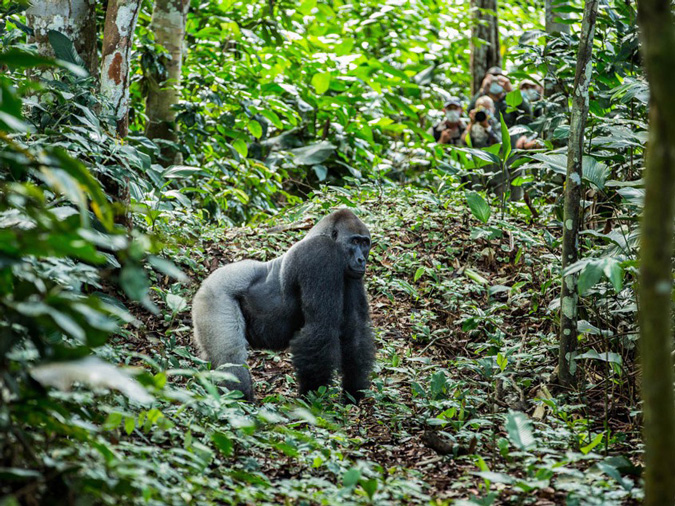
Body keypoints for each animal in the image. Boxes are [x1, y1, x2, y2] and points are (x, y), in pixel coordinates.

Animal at [191, 210, 374, 404]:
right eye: (355, 241)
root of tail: (206, 282)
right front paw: (312, 398)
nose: (361, 260)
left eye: (365, 243)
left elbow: (355, 330)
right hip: (214, 296)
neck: (322, 234)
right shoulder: (320, 255)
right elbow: (320, 329)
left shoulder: (351, 275)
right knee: (230, 357)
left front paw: (353, 392)